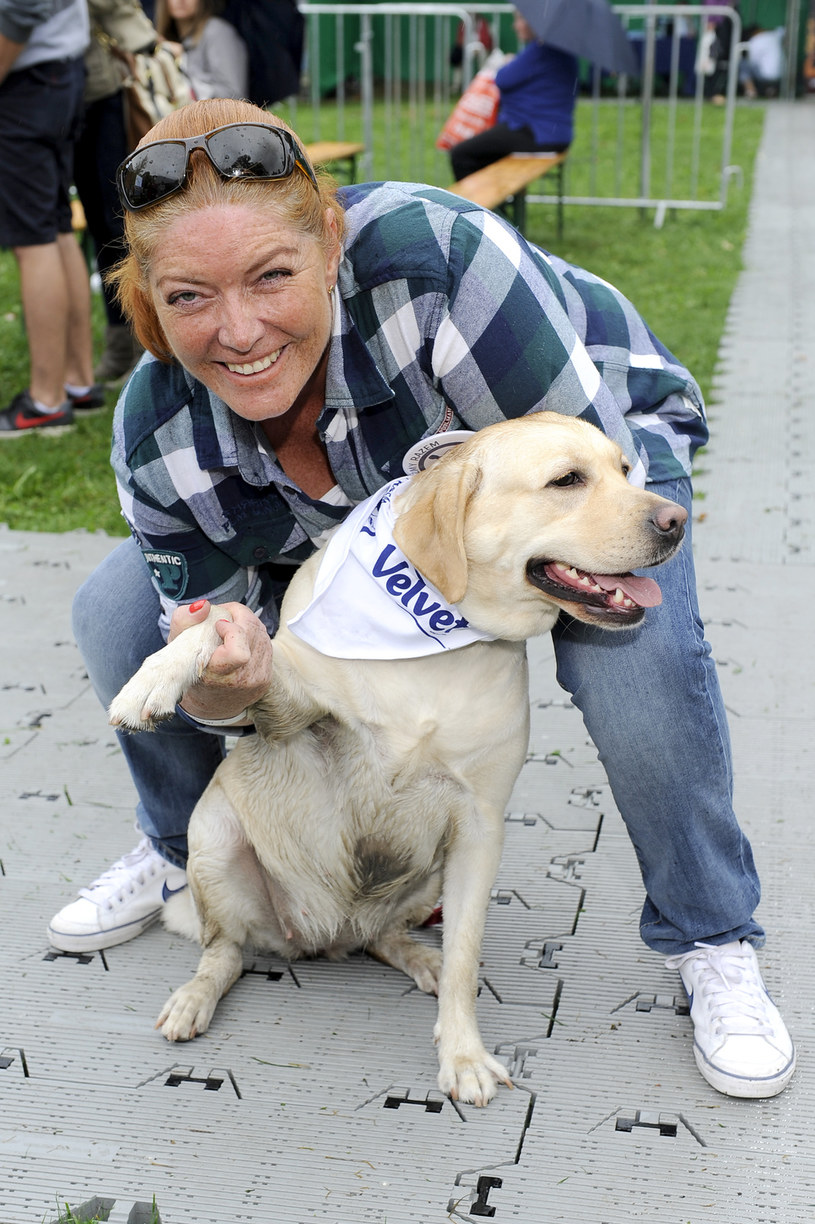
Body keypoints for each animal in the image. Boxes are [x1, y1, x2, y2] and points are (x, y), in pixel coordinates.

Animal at [109, 413, 685, 1111]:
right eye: (567, 480)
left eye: (625, 470)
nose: (678, 519)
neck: (435, 636)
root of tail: (325, 937)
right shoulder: (291, 710)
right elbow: (220, 620)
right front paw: (153, 680)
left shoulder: (479, 825)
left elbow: (465, 951)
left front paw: (462, 1053)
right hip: (214, 840)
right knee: (225, 953)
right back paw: (195, 997)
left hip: (424, 881)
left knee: (385, 937)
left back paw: (420, 958)